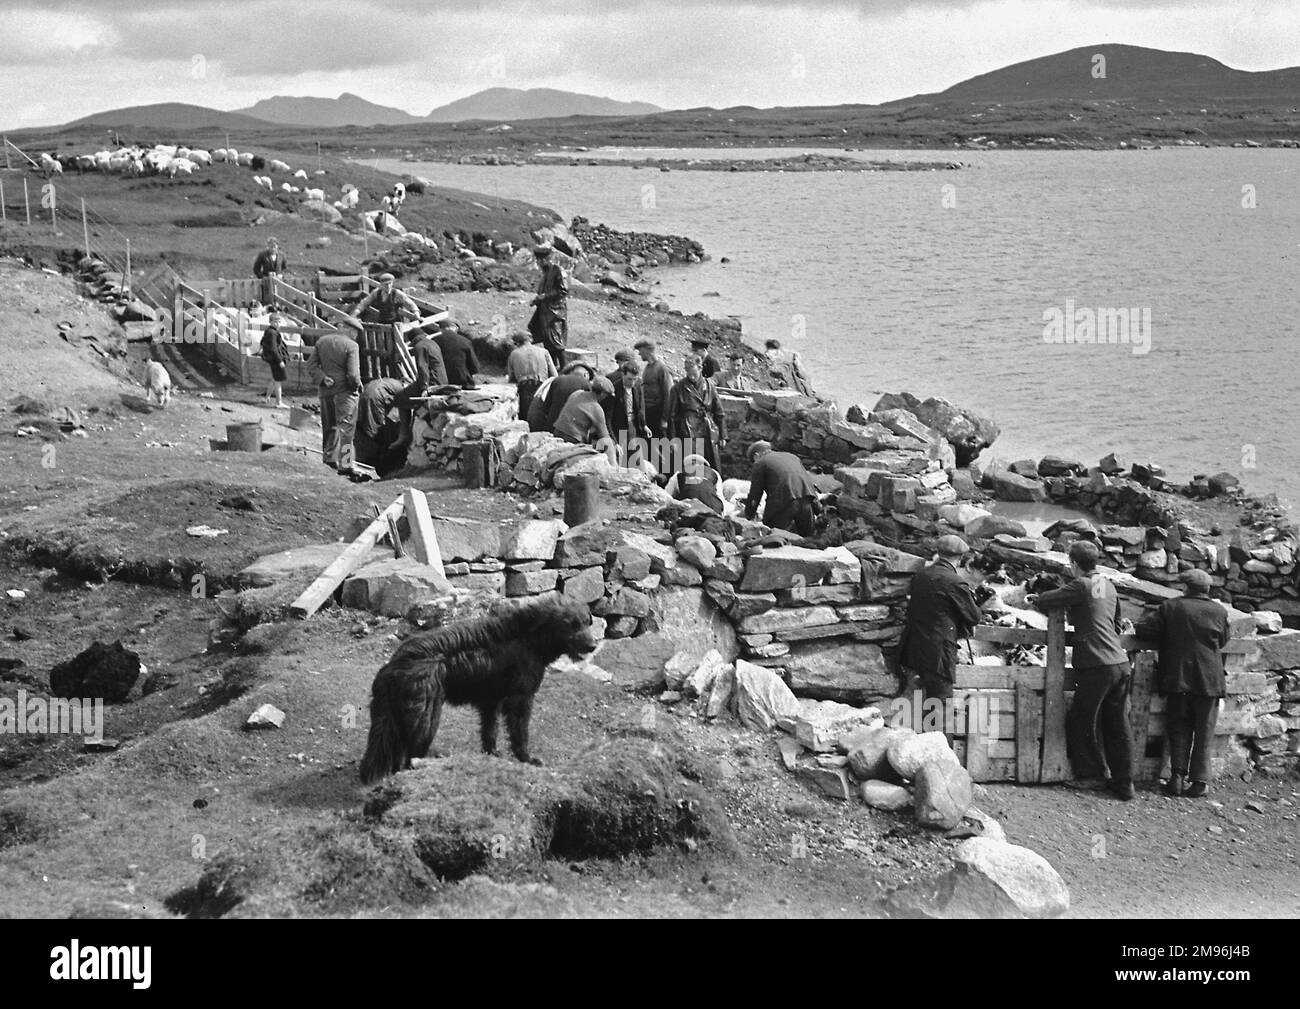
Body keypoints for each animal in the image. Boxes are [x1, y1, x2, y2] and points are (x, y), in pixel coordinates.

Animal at [358, 595, 595, 785]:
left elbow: (490, 732)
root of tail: (393, 666)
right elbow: (520, 733)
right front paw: (527, 759)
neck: (529, 639)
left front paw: (492, 755)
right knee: (409, 756)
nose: (593, 646)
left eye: (586, 622)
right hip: (425, 719)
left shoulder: (491, 701)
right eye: (571, 625)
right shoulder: (520, 699)